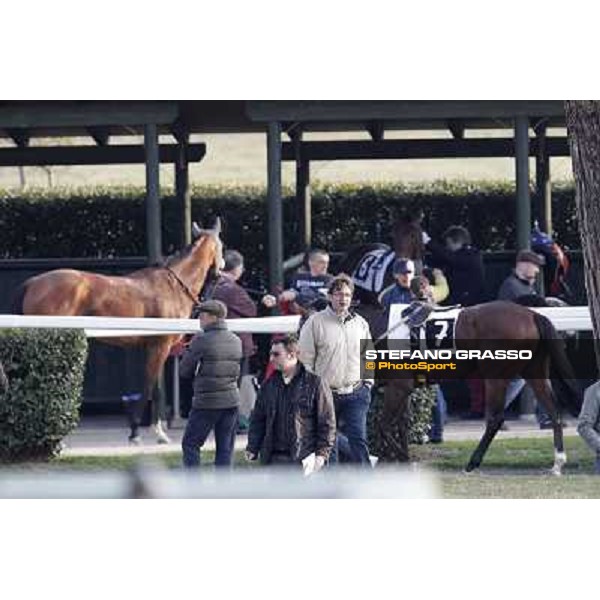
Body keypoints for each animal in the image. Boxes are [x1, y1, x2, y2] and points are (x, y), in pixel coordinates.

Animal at [12, 218, 225, 442]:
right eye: (222, 246)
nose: (220, 272)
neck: (173, 287)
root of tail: (33, 283)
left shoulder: (151, 346)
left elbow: (153, 386)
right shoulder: (160, 346)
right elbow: (151, 387)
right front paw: (140, 431)